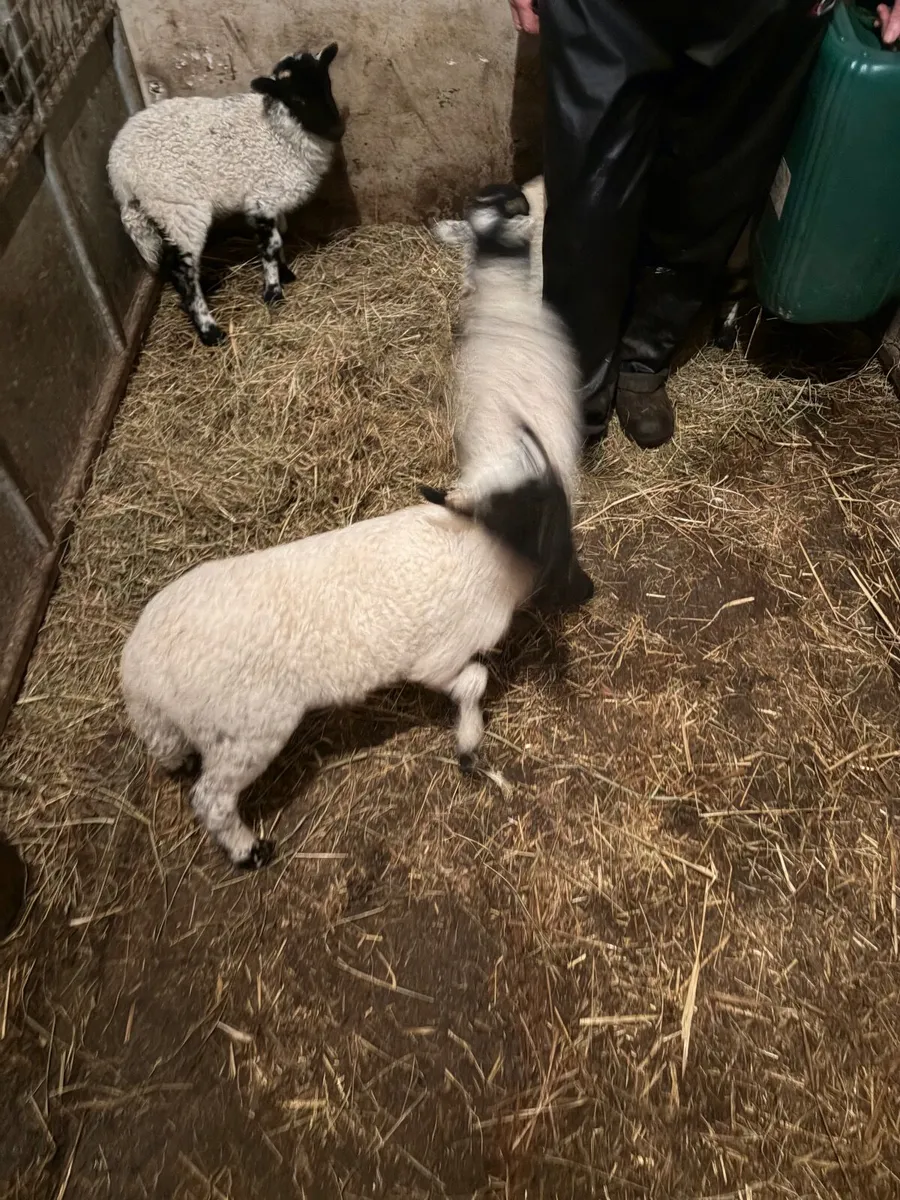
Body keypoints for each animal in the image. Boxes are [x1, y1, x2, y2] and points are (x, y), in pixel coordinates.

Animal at [107, 44, 344, 346]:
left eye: (326, 84)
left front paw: (285, 274)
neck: (279, 131)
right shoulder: (262, 199)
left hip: (158, 209)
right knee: (181, 270)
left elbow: (279, 235)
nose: (337, 130)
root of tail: (118, 170)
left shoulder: (272, 197)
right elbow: (271, 245)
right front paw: (273, 292)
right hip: (179, 207)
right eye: (295, 98)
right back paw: (210, 331)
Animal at [121, 426, 593, 869]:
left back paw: (181, 765)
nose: (588, 590)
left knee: (169, 749)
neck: (485, 554)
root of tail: (138, 669)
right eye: (551, 525)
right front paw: (468, 745)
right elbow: (474, 681)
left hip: (178, 723)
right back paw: (249, 851)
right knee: (211, 799)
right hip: (244, 730)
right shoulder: (439, 659)